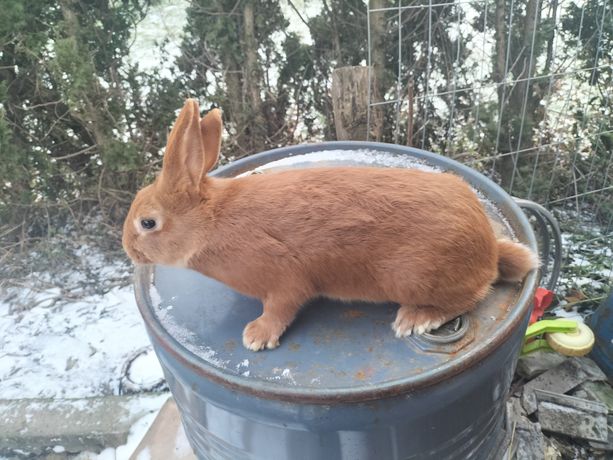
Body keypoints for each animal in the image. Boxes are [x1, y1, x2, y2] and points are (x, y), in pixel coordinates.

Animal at [123, 99, 536, 350]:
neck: (212, 219)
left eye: (148, 222)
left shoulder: (283, 279)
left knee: (473, 294)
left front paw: (256, 337)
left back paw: (415, 319)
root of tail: (488, 248)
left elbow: (281, 308)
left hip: (412, 276)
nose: (129, 250)